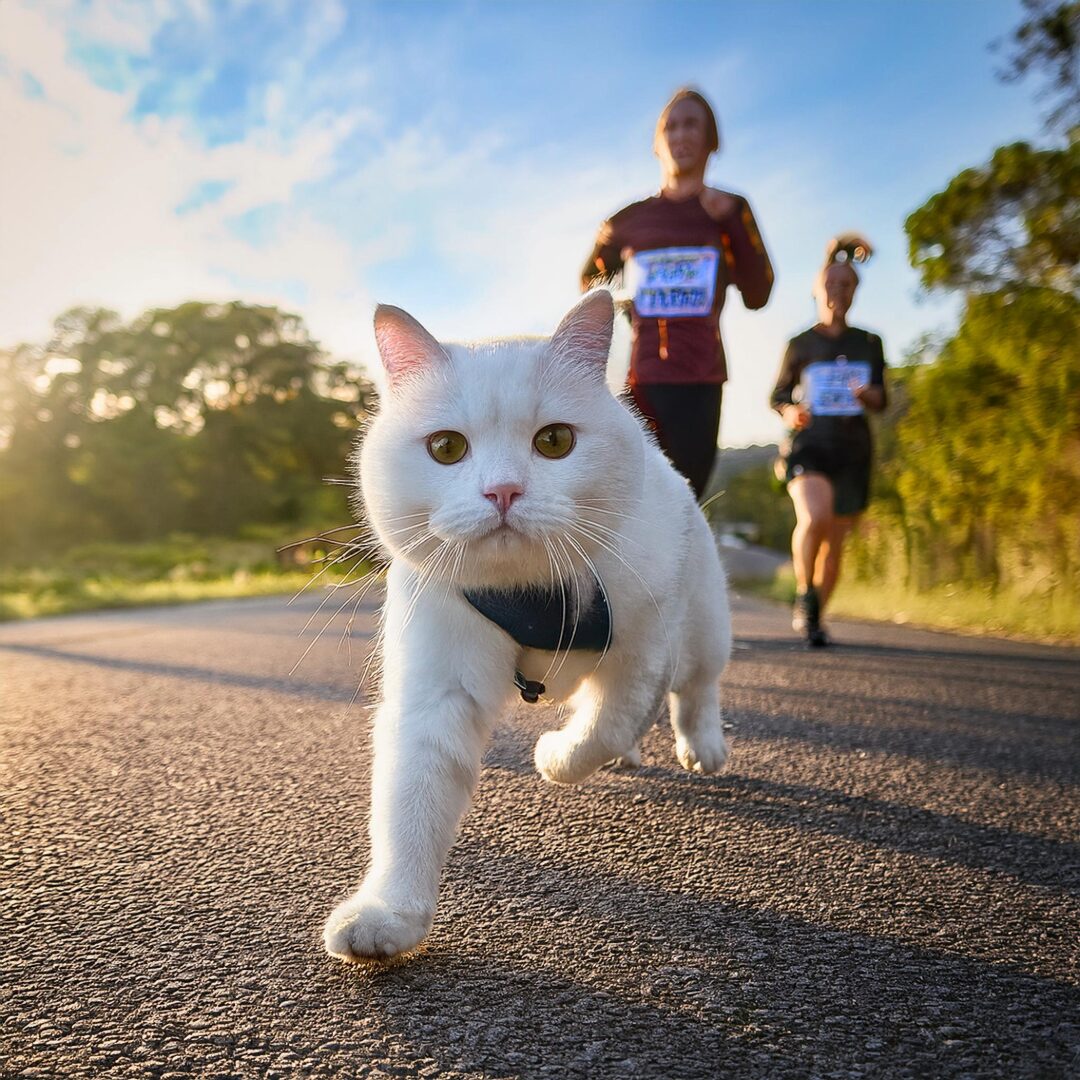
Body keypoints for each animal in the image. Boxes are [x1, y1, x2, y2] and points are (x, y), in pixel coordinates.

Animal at [317, 289, 725, 963]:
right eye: (446, 448)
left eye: (555, 441)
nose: (503, 491)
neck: (531, 592)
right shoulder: (436, 693)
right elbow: (410, 804)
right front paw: (388, 916)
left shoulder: (643, 652)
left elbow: (606, 726)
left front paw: (555, 757)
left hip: (702, 629)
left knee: (695, 694)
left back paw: (703, 749)